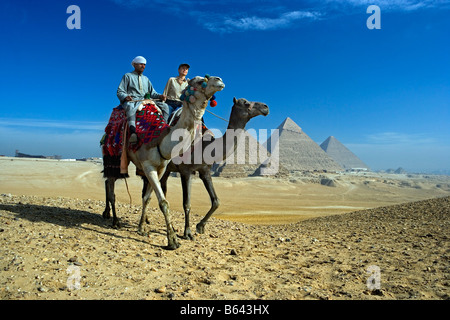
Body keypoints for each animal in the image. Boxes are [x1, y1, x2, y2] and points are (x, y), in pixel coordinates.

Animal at [102, 75, 225, 250]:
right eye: (200, 81)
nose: (219, 80)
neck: (161, 140)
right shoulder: (149, 167)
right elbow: (164, 203)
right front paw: (172, 240)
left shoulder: (161, 169)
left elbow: (147, 198)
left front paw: (141, 228)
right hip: (113, 156)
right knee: (111, 186)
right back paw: (114, 221)